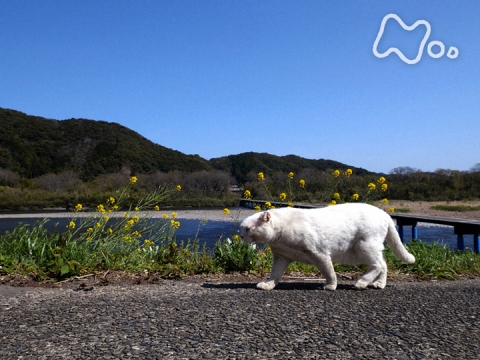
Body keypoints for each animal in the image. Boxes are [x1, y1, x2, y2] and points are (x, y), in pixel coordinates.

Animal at [242, 204, 414, 292]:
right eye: (242, 229)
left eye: (247, 229)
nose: (241, 236)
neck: (279, 235)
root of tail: (385, 214)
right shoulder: (281, 257)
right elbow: (275, 274)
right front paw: (268, 285)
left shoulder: (320, 253)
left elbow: (329, 271)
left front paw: (331, 286)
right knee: (383, 264)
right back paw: (379, 284)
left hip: (364, 246)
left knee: (378, 265)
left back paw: (361, 282)